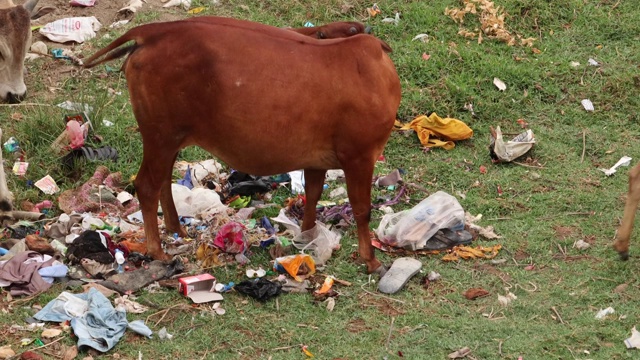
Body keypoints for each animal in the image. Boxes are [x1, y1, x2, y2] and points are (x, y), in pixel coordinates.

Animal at [84, 16, 400, 274]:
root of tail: (151, 32)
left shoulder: (316, 161)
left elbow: (312, 195)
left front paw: (308, 237)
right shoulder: (359, 155)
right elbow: (362, 208)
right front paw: (370, 260)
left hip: (167, 139)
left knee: (161, 180)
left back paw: (176, 229)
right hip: (161, 135)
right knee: (147, 185)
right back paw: (157, 251)